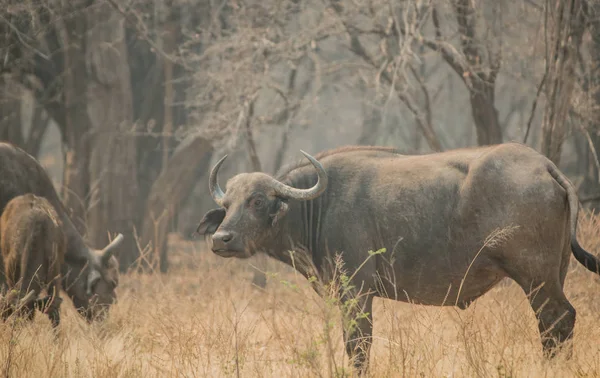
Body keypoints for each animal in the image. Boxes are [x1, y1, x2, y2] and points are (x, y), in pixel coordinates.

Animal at [198, 143, 600, 374]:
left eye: (257, 201)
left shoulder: (357, 291)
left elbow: (358, 345)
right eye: (227, 204)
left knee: (558, 319)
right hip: (554, 274)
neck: (319, 206)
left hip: (536, 276)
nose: (221, 239)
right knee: (554, 325)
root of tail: (545, 166)